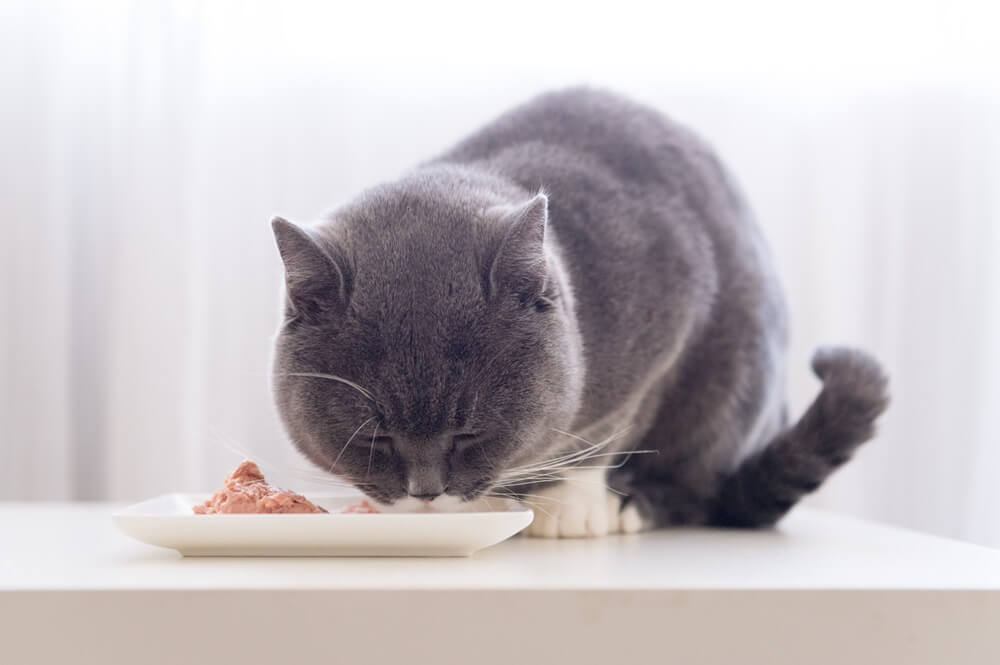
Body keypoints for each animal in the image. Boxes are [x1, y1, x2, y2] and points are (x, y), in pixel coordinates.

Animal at [270, 87, 888, 536]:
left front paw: (569, 504)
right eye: (373, 438)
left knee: (695, 484)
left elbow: (614, 425)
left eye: (468, 433)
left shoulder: (668, 308)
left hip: (734, 379)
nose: (425, 494)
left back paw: (634, 503)